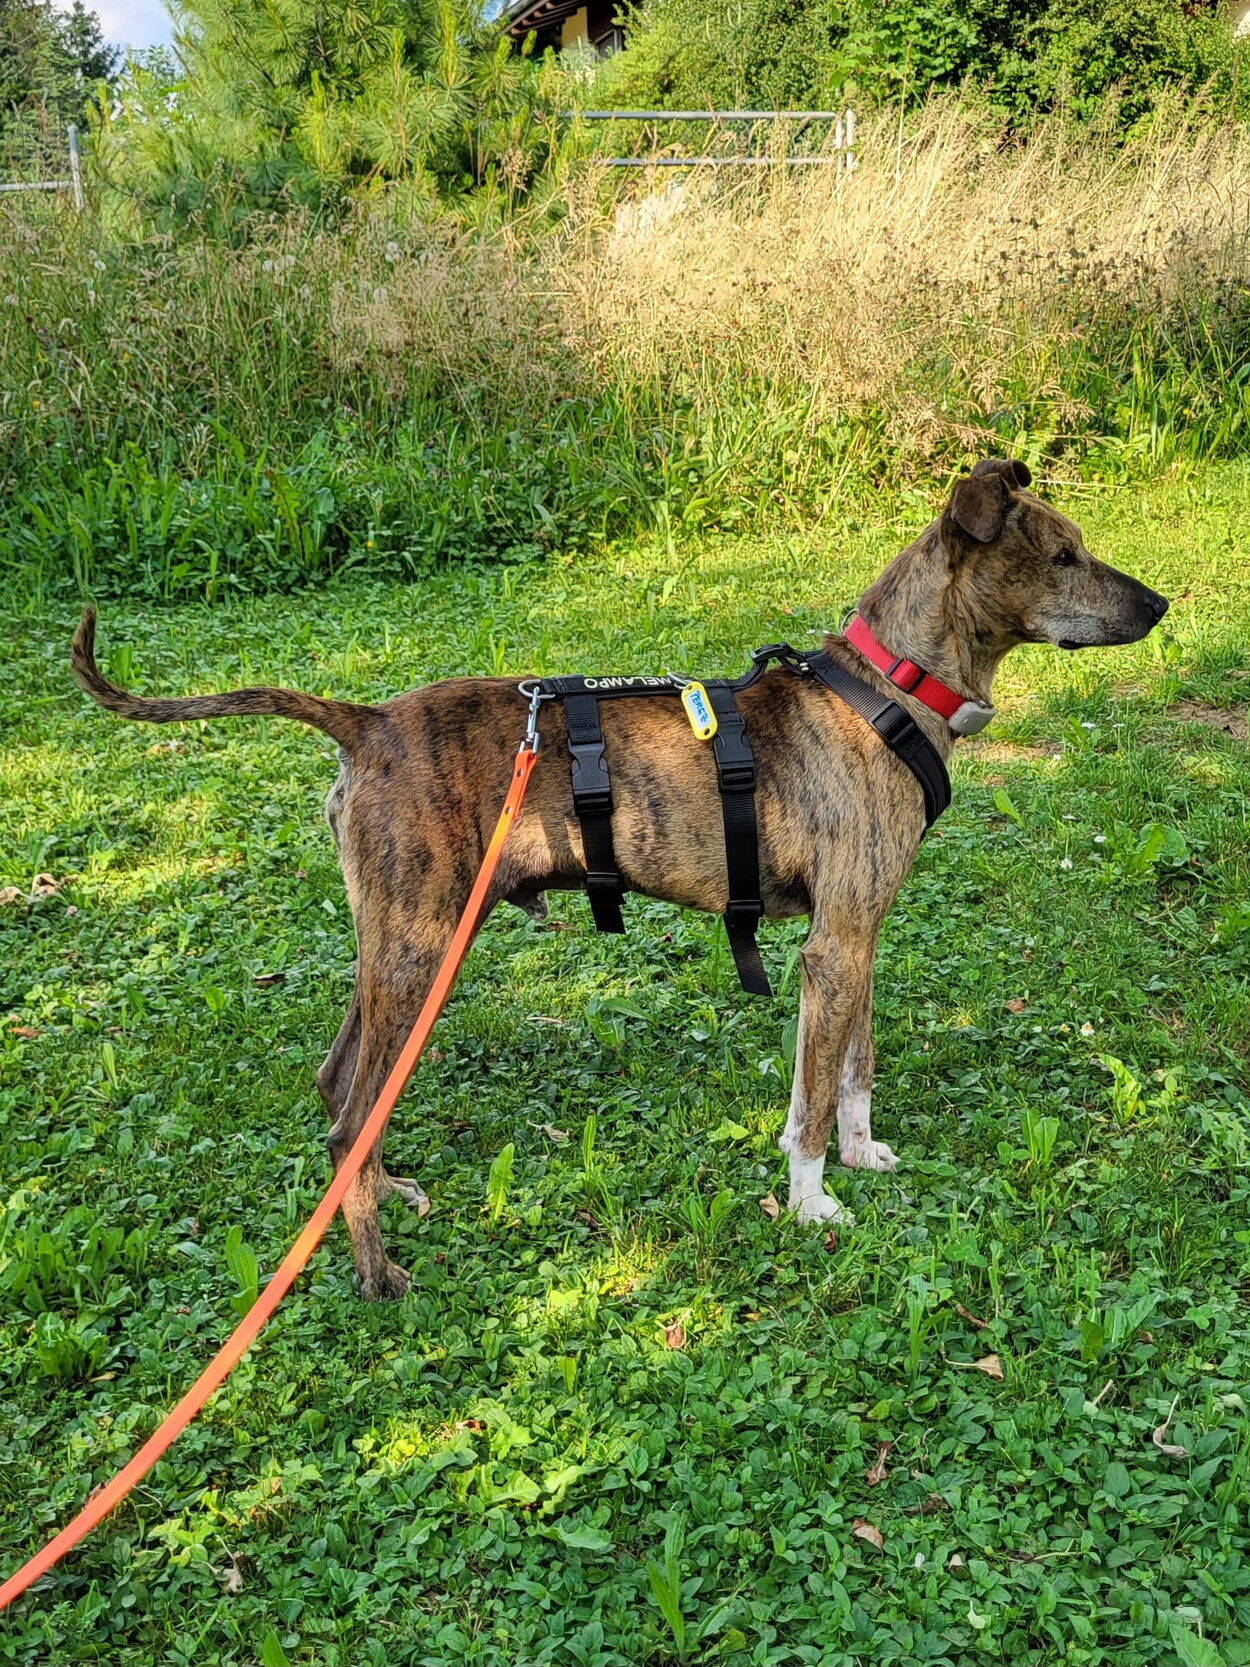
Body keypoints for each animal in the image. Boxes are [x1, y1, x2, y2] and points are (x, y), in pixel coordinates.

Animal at [72, 459, 1169, 1298]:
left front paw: (859, 1155)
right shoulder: (833, 947)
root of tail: (365, 722)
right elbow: (813, 1095)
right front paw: (813, 1198)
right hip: (419, 947)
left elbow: (850, 1070)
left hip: (400, 945)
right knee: (349, 1110)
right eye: (1062, 556)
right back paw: (378, 1271)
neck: (888, 690)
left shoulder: (858, 936)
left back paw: (386, 1193)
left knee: (340, 1083)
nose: (1161, 602)